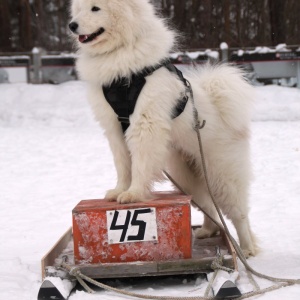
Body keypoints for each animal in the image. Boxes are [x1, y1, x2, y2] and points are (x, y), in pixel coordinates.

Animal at [69, 0, 258, 255]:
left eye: (95, 8)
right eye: (78, 9)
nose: (72, 25)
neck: (119, 53)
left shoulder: (144, 125)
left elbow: (139, 165)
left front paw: (134, 194)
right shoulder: (115, 128)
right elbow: (123, 165)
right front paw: (119, 191)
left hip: (222, 174)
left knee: (239, 214)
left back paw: (247, 249)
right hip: (188, 177)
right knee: (209, 205)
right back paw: (207, 231)